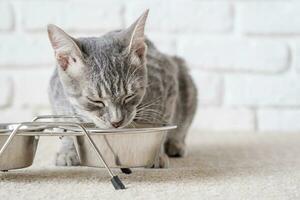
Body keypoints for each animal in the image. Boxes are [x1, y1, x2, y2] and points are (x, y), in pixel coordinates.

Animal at [47, 9, 197, 169]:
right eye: (95, 100)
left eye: (129, 96)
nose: (116, 122)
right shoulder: (57, 98)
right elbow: (67, 126)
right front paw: (68, 150)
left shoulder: (169, 84)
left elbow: (161, 124)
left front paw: (155, 153)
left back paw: (176, 144)